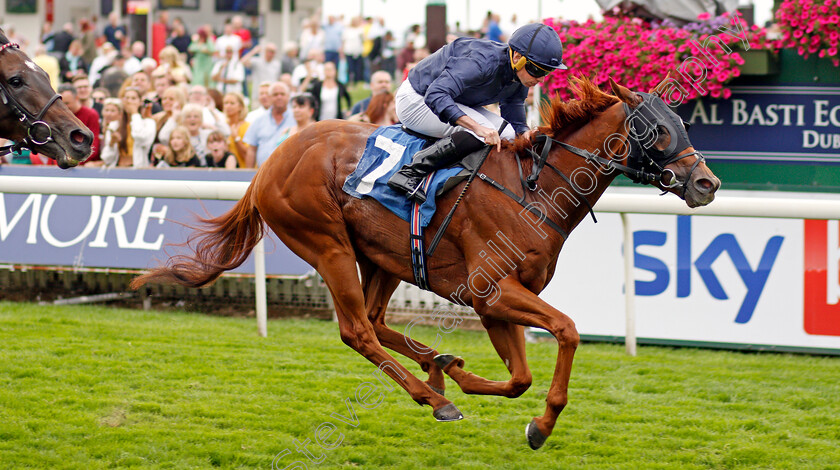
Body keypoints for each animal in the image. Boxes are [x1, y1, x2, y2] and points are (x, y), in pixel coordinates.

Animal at [131, 76, 720, 448]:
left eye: (685, 125)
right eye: (658, 130)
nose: (707, 183)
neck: (531, 190)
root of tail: (271, 159)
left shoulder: (495, 302)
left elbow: (519, 377)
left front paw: (463, 376)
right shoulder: (490, 290)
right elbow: (567, 331)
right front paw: (541, 424)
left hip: (383, 257)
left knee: (374, 321)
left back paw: (437, 368)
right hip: (326, 243)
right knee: (356, 331)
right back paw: (430, 395)